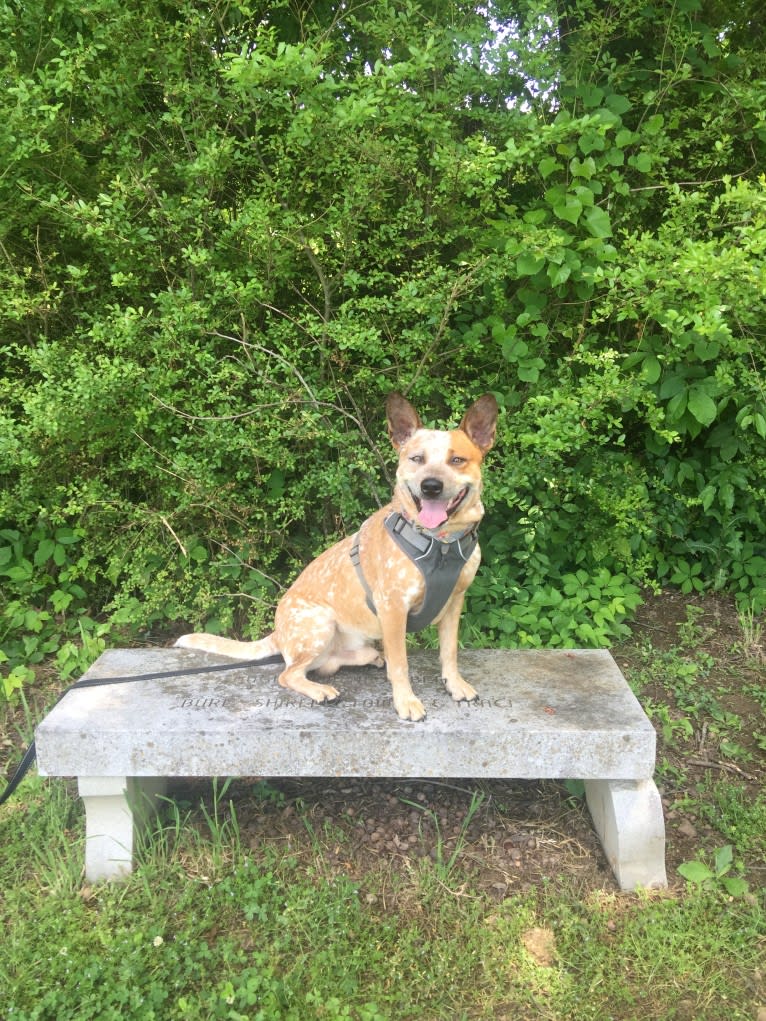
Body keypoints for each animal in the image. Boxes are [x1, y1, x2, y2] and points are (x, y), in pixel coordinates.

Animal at [174, 387, 500, 718]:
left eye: (457, 460)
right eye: (416, 459)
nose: (430, 486)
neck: (441, 544)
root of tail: (278, 633)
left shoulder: (455, 601)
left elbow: (449, 651)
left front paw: (455, 684)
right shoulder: (393, 608)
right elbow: (401, 664)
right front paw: (406, 701)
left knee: (330, 663)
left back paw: (369, 658)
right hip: (321, 623)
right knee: (288, 673)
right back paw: (320, 690)